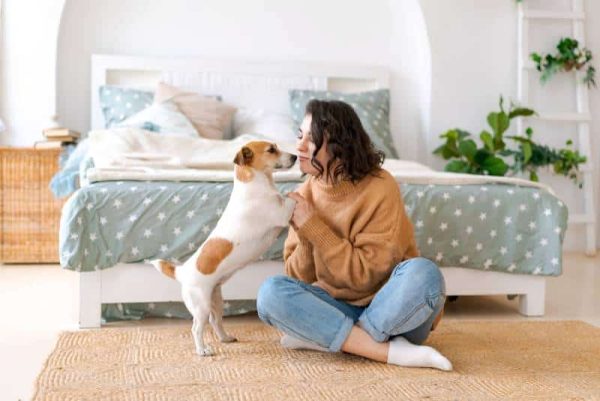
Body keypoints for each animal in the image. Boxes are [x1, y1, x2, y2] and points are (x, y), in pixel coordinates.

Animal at [151, 142, 296, 354]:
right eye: (271, 150)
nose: (295, 157)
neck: (254, 184)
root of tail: (181, 272)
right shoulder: (282, 213)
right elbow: (293, 197)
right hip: (201, 306)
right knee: (196, 328)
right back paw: (202, 350)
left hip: (217, 301)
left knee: (215, 321)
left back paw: (225, 338)